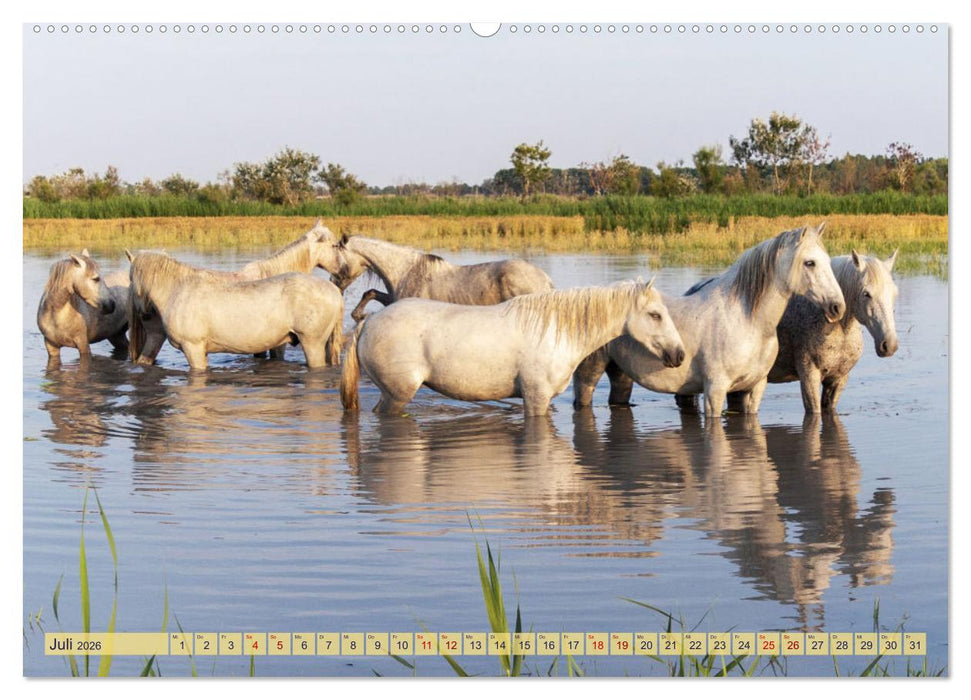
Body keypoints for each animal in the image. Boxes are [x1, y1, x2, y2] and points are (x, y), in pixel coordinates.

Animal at [127, 219, 348, 364]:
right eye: (334, 246)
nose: (345, 271)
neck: (178, 290)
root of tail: (334, 292)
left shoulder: (194, 349)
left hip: (313, 344)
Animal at [328, 235, 554, 321]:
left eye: (337, 259)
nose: (333, 284)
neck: (406, 270)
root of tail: (545, 279)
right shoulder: (393, 300)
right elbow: (371, 293)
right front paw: (358, 314)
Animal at [341, 279, 685, 416]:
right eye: (655, 315)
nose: (678, 355)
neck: (556, 331)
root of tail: (369, 322)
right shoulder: (536, 398)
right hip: (397, 395)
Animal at [572, 223, 846, 417]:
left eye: (827, 261)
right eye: (809, 263)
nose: (837, 307)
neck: (748, 322)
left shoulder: (755, 388)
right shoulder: (715, 389)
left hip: (620, 375)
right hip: (589, 374)